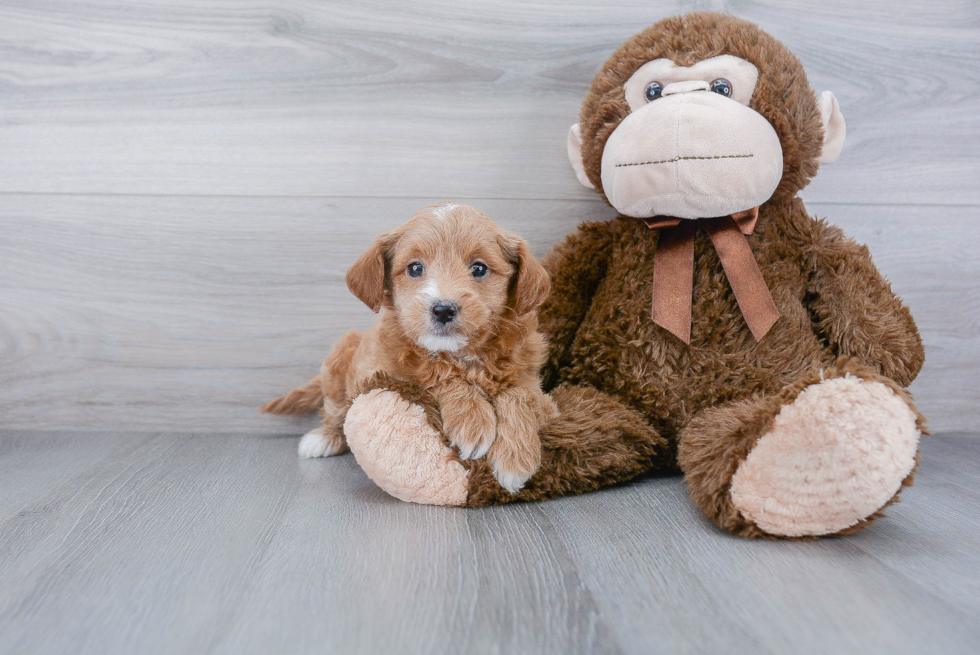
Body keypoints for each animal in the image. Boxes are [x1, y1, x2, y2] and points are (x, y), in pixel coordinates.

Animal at [264, 204, 556, 492]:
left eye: (479, 269)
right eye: (415, 268)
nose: (443, 309)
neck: (460, 354)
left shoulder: (538, 390)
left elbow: (518, 394)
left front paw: (515, 459)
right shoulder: (388, 373)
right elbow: (436, 375)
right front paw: (472, 420)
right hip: (338, 363)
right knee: (335, 412)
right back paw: (323, 438)